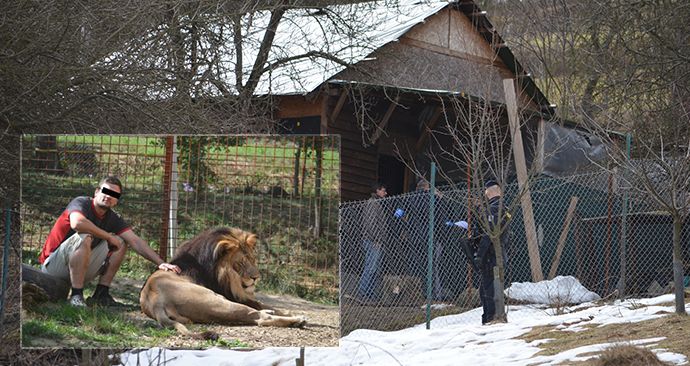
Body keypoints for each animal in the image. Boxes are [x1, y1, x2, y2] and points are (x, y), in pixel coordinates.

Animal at [138, 226, 306, 334]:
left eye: (252, 259)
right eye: (241, 263)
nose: (256, 278)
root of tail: (154, 301)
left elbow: (262, 303)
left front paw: (285, 310)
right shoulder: (228, 292)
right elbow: (257, 304)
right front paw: (291, 314)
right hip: (216, 300)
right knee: (259, 317)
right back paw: (297, 320)